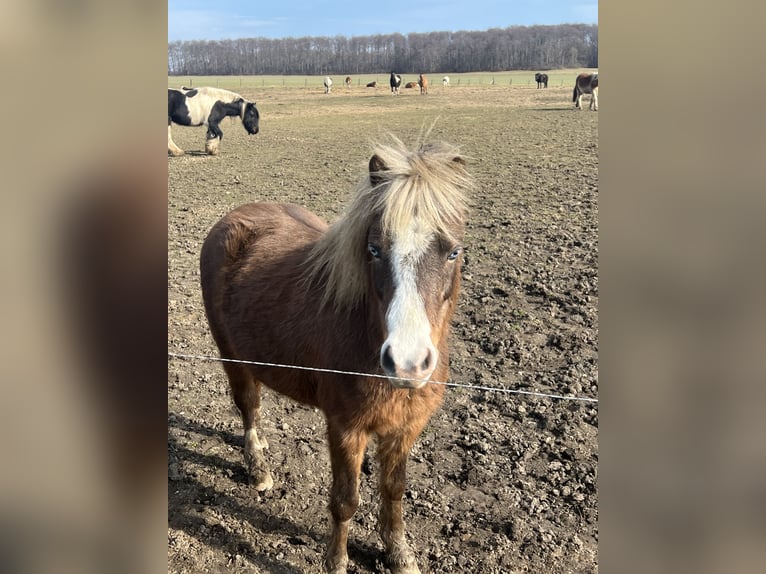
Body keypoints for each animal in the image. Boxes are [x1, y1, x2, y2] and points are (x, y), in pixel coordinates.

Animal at [200, 138, 472, 574]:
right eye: (374, 249)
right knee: (249, 407)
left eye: (454, 252)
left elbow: (394, 491)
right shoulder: (345, 429)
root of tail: (234, 217)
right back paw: (258, 470)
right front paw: (337, 561)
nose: (408, 363)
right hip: (232, 358)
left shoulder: (405, 428)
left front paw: (399, 554)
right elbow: (345, 501)